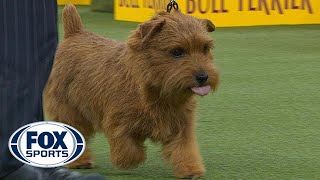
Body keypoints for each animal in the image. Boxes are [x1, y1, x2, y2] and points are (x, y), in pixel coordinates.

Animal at [43, 4, 219, 179]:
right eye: (177, 51)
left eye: (205, 48)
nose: (203, 76)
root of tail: (75, 33)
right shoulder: (118, 121)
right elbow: (129, 149)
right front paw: (127, 161)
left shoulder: (181, 124)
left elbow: (185, 149)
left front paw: (191, 169)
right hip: (68, 109)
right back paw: (80, 162)